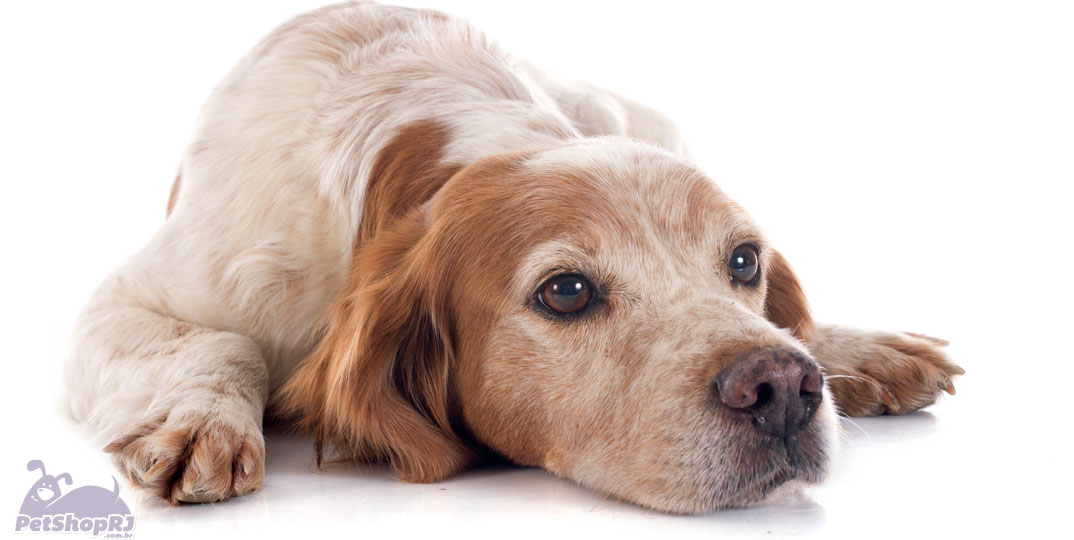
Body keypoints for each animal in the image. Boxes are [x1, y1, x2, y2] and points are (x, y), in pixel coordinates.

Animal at [62, 1, 962, 515]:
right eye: (565, 292)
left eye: (744, 262)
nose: (780, 388)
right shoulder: (129, 302)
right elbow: (224, 343)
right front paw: (201, 419)